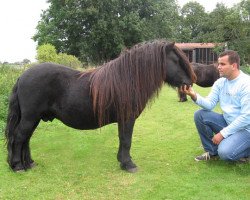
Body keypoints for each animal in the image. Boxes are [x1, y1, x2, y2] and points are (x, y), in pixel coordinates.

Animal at [4, 40, 195, 172]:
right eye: (177, 60)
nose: (190, 82)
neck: (128, 79)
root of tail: (22, 76)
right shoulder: (127, 119)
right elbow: (126, 140)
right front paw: (128, 164)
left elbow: (123, 140)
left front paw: (123, 161)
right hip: (30, 117)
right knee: (19, 137)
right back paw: (18, 166)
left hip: (34, 118)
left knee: (26, 138)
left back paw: (29, 163)